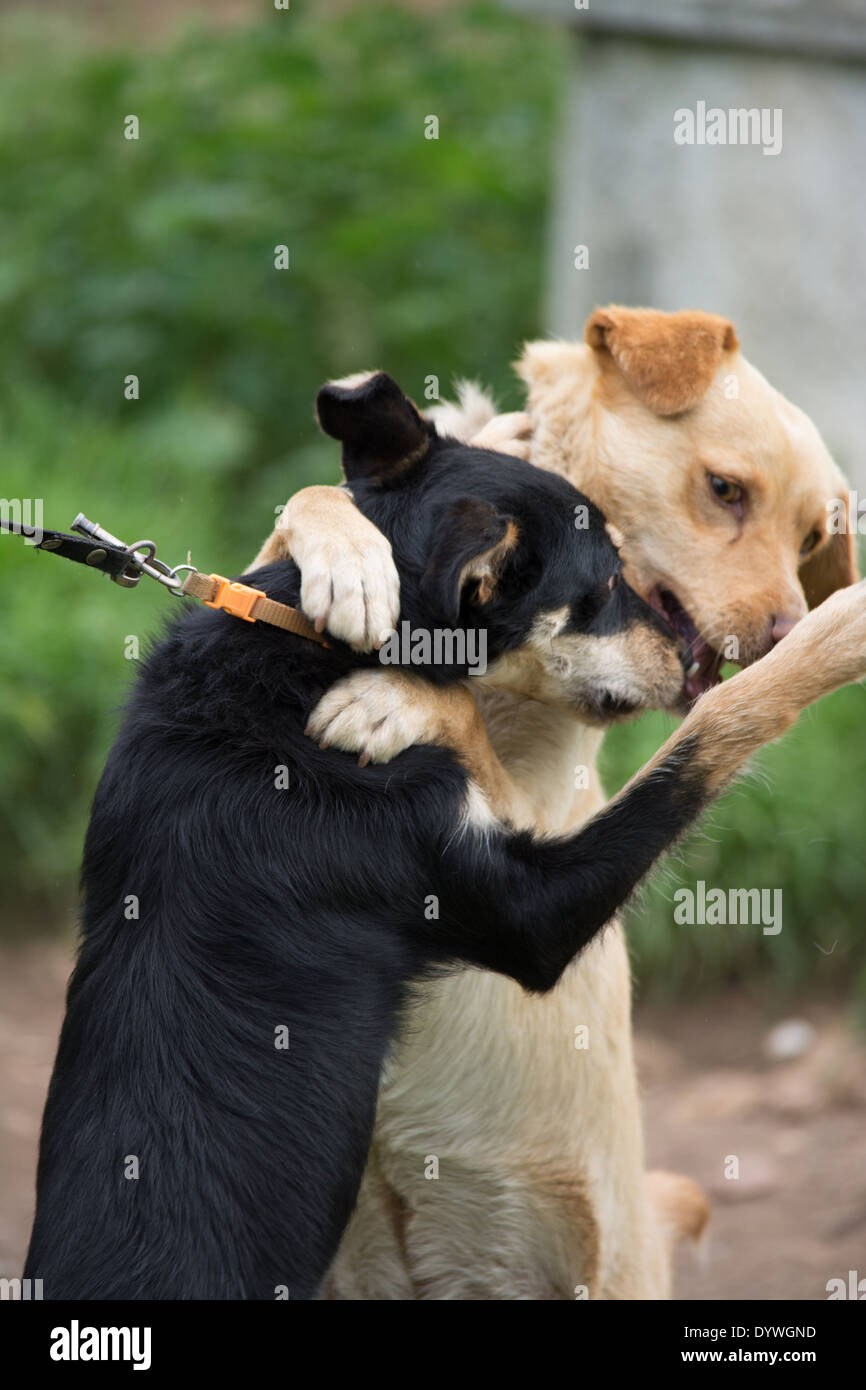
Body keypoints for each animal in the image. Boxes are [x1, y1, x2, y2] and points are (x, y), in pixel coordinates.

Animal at [28, 372, 706, 1301]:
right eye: (601, 591)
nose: (691, 661)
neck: (296, 655)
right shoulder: (527, 912)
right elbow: (696, 759)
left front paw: (354, 579)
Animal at [247, 309, 856, 1295]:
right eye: (724, 490)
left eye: (811, 540)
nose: (784, 634)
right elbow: (311, 499)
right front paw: (350, 558)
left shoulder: (535, 828)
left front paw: (401, 699)